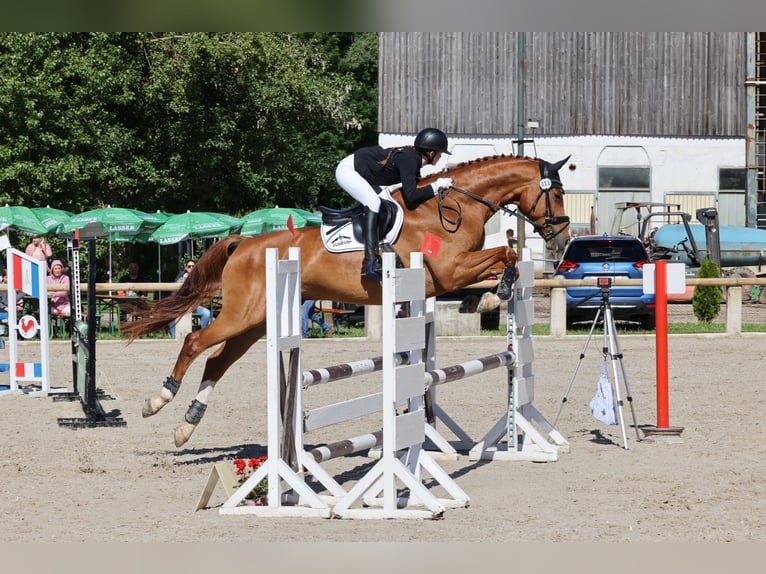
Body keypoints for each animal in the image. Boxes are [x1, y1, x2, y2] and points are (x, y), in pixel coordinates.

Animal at [123, 153, 572, 447]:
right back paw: (158, 400)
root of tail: (243, 243)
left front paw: (494, 298)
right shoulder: (450, 270)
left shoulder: (451, 274)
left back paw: (186, 425)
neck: (454, 206)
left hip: (255, 322)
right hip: (241, 314)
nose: (563, 240)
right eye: (557, 195)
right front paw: (496, 297)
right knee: (195, 341)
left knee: (218, 361)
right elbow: (506, 253)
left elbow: (502, 261)